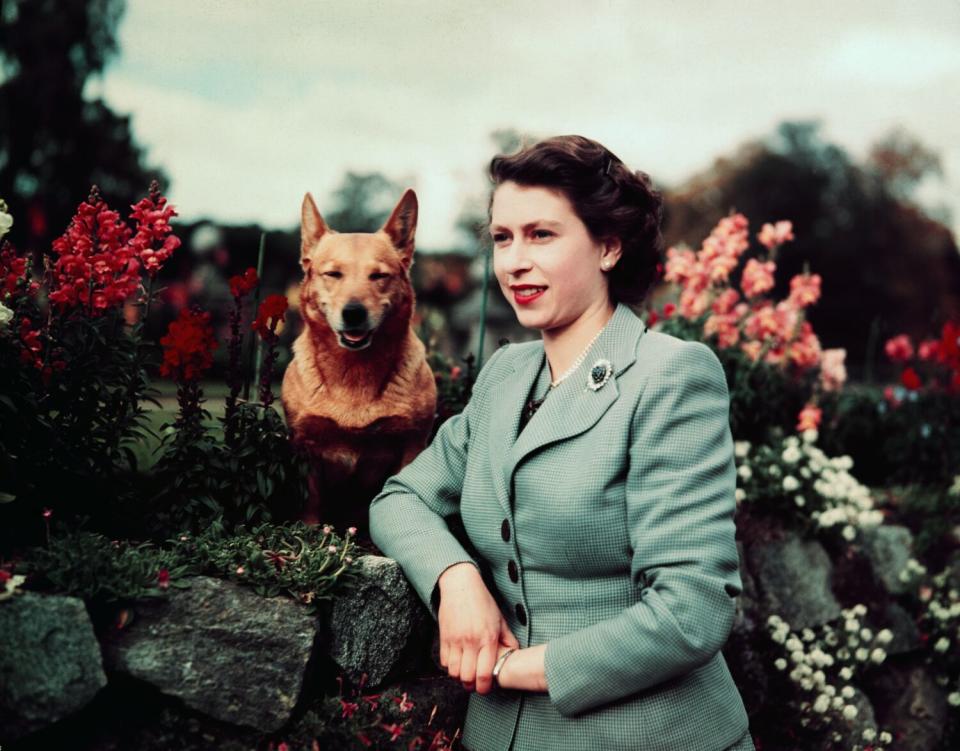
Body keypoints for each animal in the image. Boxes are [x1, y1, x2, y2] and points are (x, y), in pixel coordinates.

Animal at [282, 192, 438, 536]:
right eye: (333, 274)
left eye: (379, 276)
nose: (353, 312)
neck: (354, 373)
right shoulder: (305, 445)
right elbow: (310, 502)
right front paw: (309, 536)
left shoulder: (412, 444)